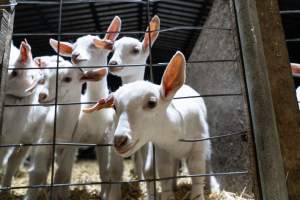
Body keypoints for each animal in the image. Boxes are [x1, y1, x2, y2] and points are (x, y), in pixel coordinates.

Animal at [83, 52, 212, 200]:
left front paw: (198, 195)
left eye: (151, 103)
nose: (119, 140)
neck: (176, 133)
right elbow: (165, 172)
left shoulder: (198, 148)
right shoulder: (162, 149)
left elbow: (197, 173)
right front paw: (168, 195)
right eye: (114, 106)